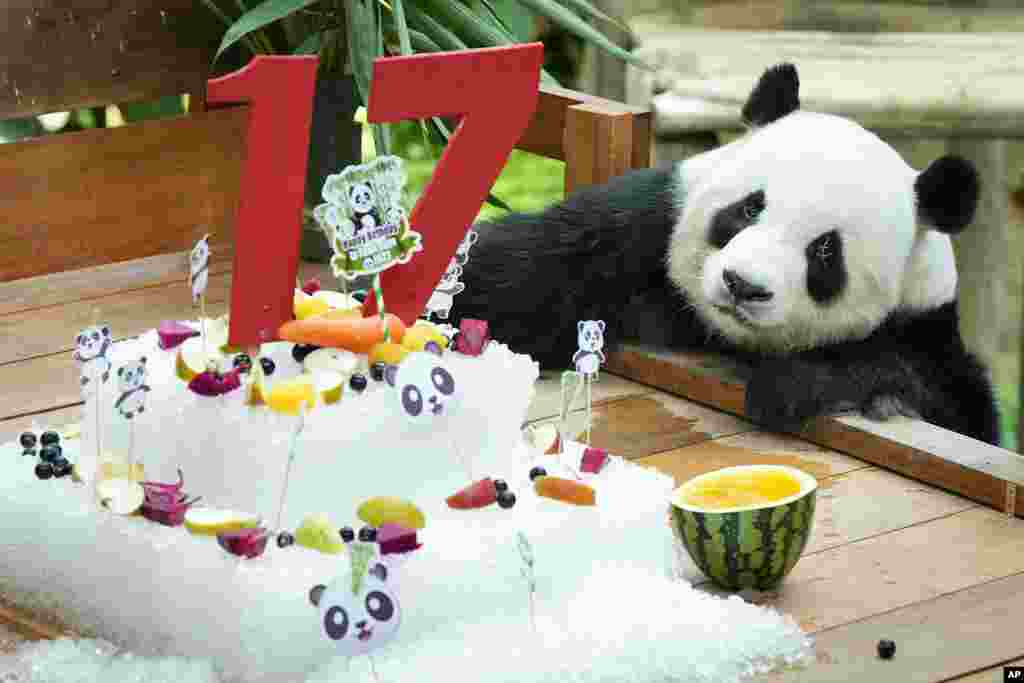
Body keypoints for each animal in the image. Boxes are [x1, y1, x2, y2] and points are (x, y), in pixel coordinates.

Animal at [452, 61, 1003, 446]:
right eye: (750, 207)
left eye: (825, 250)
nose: (743, 286)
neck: (719, 335)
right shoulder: (636, 233)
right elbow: (519, 274)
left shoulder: (923, 324)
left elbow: (947, 398)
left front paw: (794, 384)